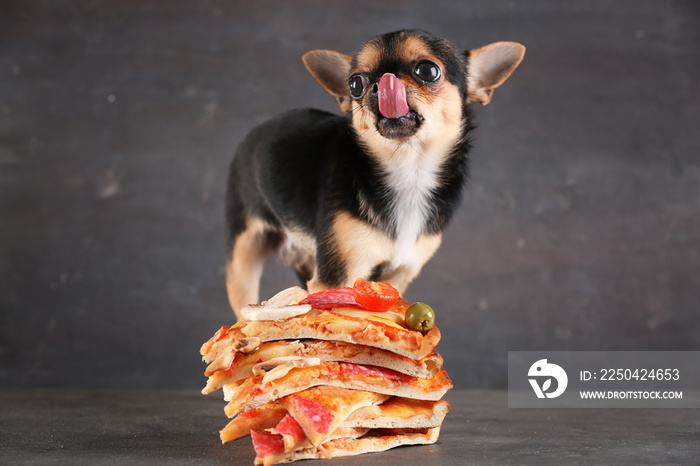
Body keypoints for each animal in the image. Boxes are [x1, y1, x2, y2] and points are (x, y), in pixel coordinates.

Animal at [224, 29, 524, 318]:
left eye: (428, 71)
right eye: (355, 84)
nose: (383, 83)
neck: (408, 171)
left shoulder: (397, 275)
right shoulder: (337, 277)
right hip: (243, 262)